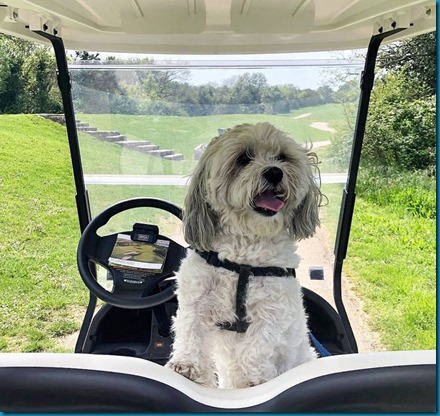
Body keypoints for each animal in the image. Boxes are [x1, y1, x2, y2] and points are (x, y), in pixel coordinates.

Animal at [165, 122, 324, 388]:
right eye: (243, 158)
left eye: (282, 157)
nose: (274, 172)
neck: (243, 262)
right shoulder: (196, 301)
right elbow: (190, 332)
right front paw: (188, 367)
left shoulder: (271, 312)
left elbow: (256, 349)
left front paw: (251, 381)